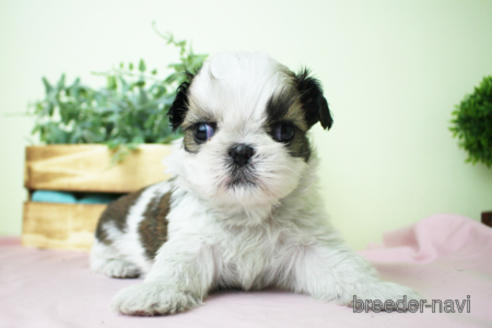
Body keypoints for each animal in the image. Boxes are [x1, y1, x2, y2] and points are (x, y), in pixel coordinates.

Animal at [90, 52, 418, 316]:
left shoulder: (311, 245)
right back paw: (119, 265)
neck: (246, 212)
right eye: (203, 131)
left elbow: (343, 267)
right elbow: (175, 267)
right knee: (99, 256)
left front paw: (379, 290)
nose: (240, 150)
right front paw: (154, 291)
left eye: (284, 131)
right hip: (107, 230)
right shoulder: (192, 240)